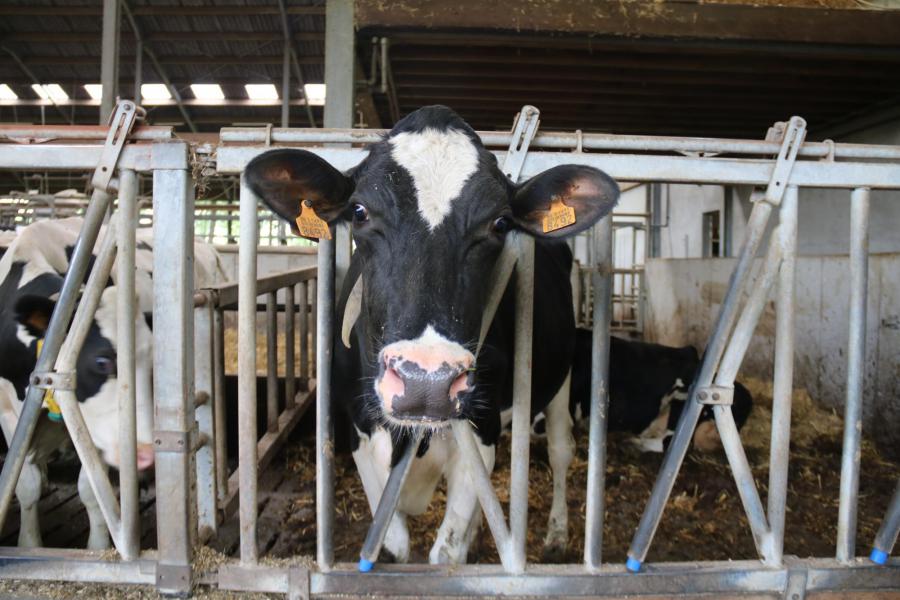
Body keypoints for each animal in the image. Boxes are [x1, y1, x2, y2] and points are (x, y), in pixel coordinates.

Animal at [0, 217, 229, 548]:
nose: (144, 454)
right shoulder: (8, 412)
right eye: (101, 362)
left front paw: (98, 546)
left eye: (153, 361)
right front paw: (29, 544)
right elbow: (25, 484)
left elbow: (91, 488)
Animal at [248, 104, 620, 564]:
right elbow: (393, 547)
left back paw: (556, 535)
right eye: (359, 212)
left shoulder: (480, 432)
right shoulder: (359, 431)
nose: (426, 382)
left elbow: (446, 553)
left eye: (499, 223)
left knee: (560, 449)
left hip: (561, 377)